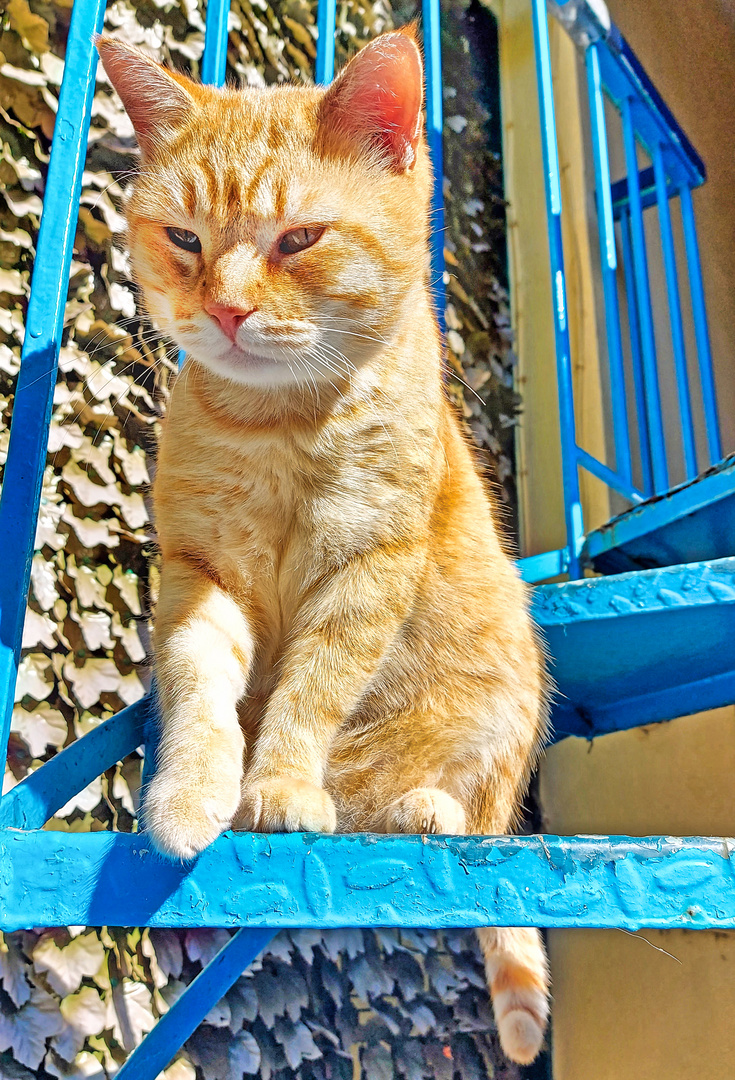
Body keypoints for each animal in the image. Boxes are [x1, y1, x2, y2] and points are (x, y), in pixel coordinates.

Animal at [98, 27, 550, 1062]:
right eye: (186, 240)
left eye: (298, 239)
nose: (224, 311)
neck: (279, 426)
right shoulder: (199, 574)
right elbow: (198, 686)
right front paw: (191, 790)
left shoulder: (365, 571)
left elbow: (312, 691)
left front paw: (278, 786)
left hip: (506, 694)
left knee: (445, 811)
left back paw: (423, 808)